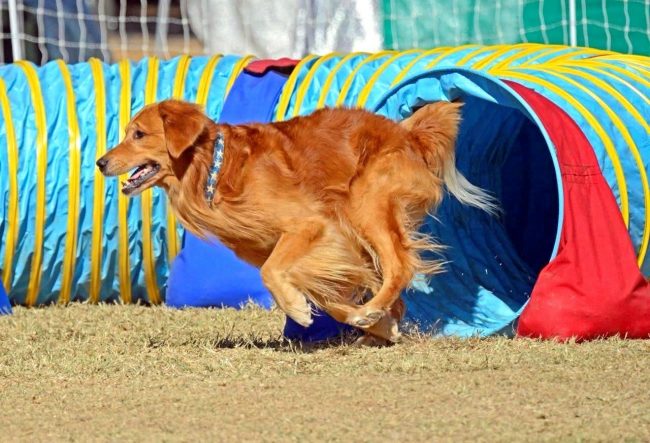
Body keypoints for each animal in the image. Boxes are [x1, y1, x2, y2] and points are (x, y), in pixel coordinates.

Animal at [95, 100, 492, 346]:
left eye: (139, 134)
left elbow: (271, 273)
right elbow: (329, 299)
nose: (99, 162)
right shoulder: (319, 250)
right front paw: (375, 324)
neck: (213, 167)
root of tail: (408, 134)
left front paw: (300, 311)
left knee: (399, 266)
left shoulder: (311, 226)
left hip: (367, 204)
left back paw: (374, 308)